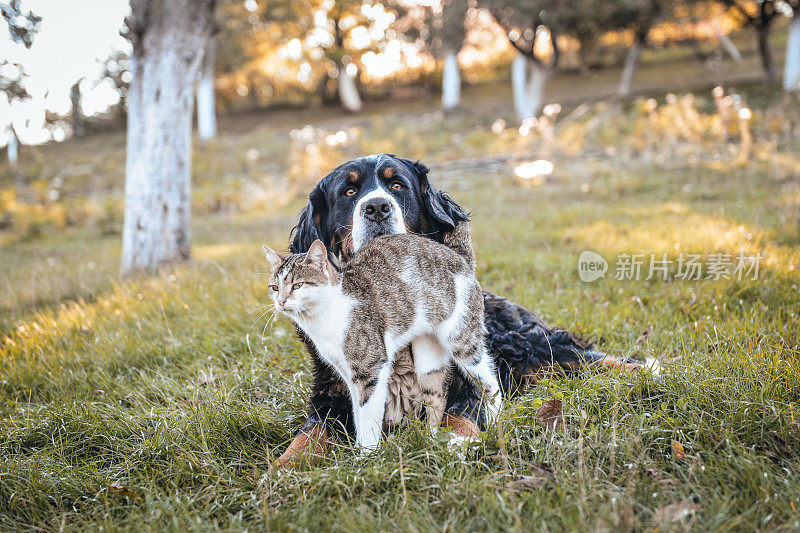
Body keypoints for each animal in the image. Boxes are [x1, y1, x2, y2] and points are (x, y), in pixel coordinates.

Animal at [262, 235, 500, 446]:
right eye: (274, 288)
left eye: (297, 285)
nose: (281, 301)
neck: (326, 313)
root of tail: (459, 259)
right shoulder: (348, 373)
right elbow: (357, 414)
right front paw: (359, 451)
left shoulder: (372, 369)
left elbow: (368, 416)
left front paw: (367, 455)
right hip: (427, 358)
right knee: (437, 395)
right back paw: (430, 441)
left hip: (462, 339)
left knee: (490, 382)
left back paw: (496, 424)